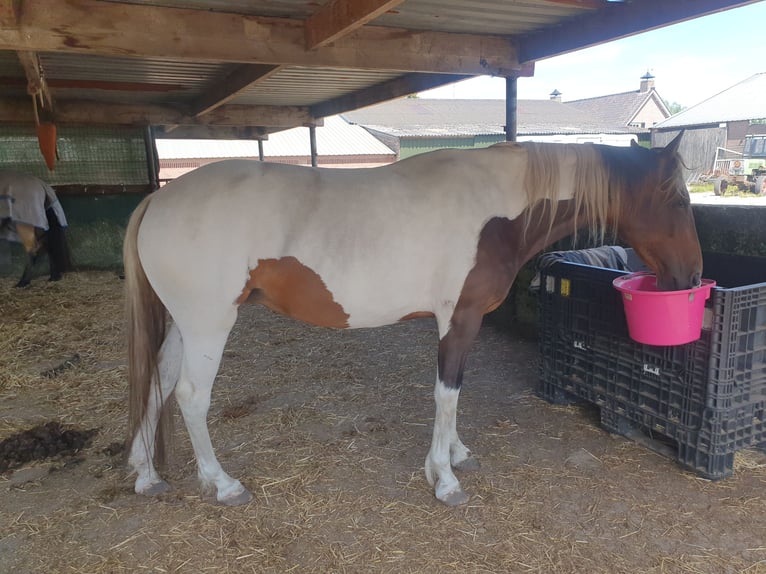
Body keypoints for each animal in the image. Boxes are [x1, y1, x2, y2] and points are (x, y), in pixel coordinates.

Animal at [124, 132, 702, 506]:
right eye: (677, 200)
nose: (692, 276)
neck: (496, 210)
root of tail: (158, 199)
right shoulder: (459, 319)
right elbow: (447, 392)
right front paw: (444, 478)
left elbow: (455, 393)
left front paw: (456, 454)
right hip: (209, 324)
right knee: (190, 396)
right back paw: (222, 484)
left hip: (184, 325)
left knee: (159, 383)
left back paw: (146, 474)